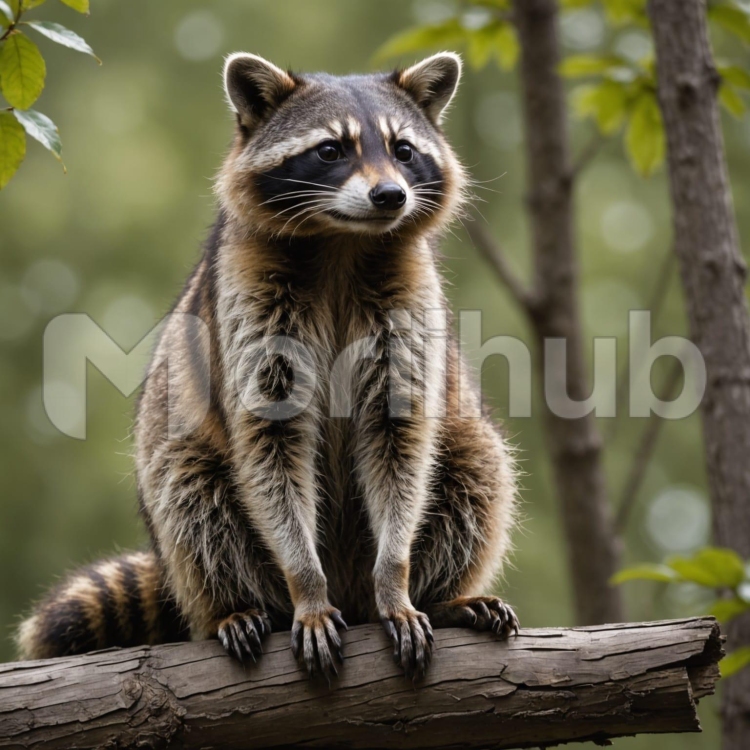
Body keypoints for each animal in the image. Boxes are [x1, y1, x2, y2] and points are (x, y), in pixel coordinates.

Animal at [17, 52, 519, 678]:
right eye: (331, 150)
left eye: (403, 150)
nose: (390, 196)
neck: (342, 242)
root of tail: (350, 591)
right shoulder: (247, 298)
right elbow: (268, 446)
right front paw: (306, 587)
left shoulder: (406, 305)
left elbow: (399, 438)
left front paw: (397, 579)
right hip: (185, 494)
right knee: (187, 487)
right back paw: (236, 606)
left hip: (459, 443)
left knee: (478, 460)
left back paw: (444, 596)